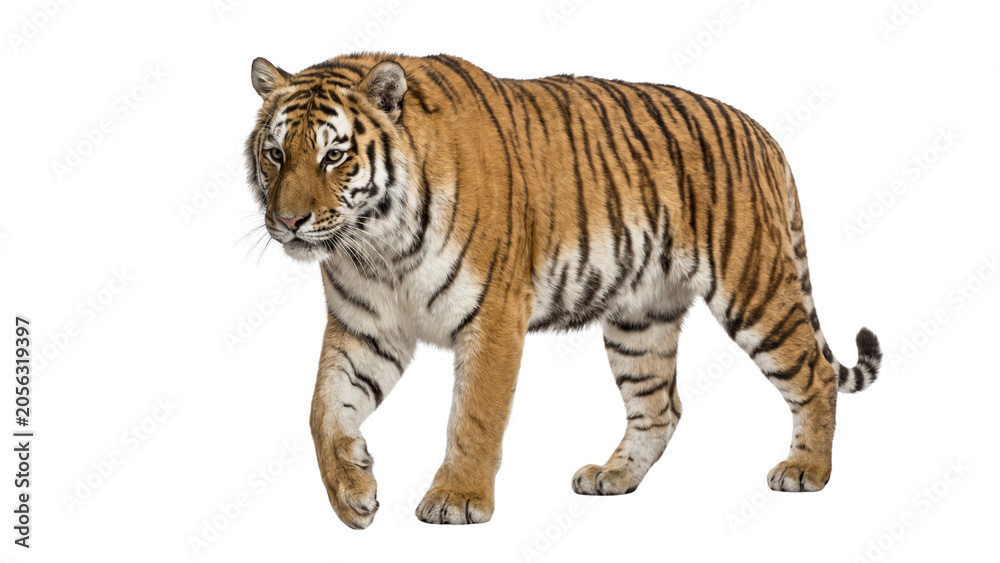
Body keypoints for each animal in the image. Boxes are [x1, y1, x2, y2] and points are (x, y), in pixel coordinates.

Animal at [244, 52, 882, 529]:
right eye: (275, 154)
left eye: (334, 155)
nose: (290, 222)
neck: (379, 246)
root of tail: (763, 133)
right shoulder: (365, 327)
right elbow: (323, 410)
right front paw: (352, 491)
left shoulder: (494, 314)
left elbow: (473, 414)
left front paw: (456, 499)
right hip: (639, 320)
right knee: (660, 407)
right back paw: (613, 477)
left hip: (754, 287)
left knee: (814, 375)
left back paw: (805, 471)